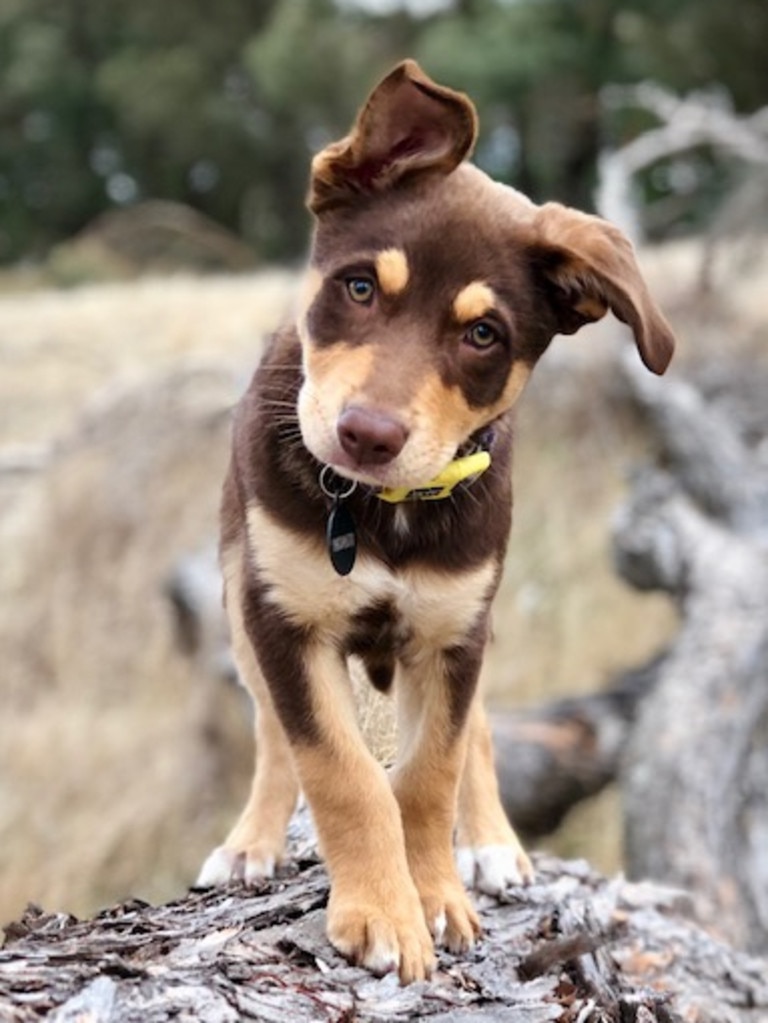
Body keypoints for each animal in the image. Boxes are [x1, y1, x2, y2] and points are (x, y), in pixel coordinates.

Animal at [195, 58, 674, 982]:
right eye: (357, 288)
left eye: (483, 334)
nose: (367, 436)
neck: (377, 513)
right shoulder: (283, 619)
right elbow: (336, 766)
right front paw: (381, 911)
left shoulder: (454, 629)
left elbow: (429, 770)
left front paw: (435, 893)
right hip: (239, 593)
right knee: (271, 733)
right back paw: (250, 842)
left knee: (477, 731)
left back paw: (489, 842)